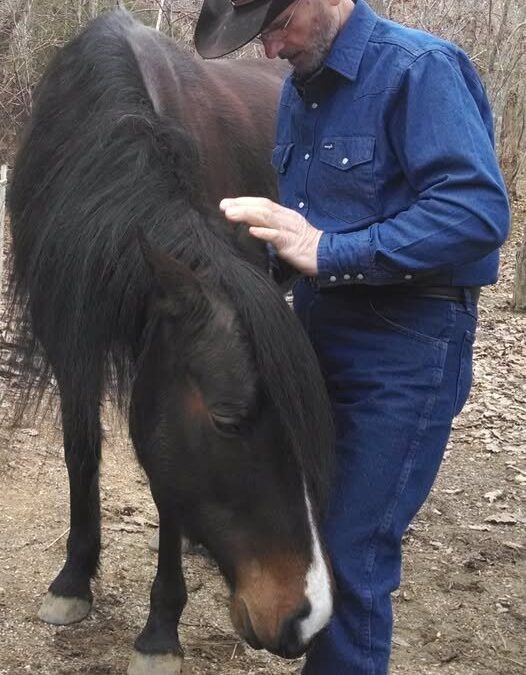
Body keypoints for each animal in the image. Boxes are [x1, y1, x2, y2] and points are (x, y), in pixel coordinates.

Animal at [5, 8, 335, 675]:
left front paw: (159, 631)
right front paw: (73, 580)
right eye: (230, 421)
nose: (306, 619)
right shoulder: (70, 340)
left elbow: (164, 490)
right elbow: (85, 449)